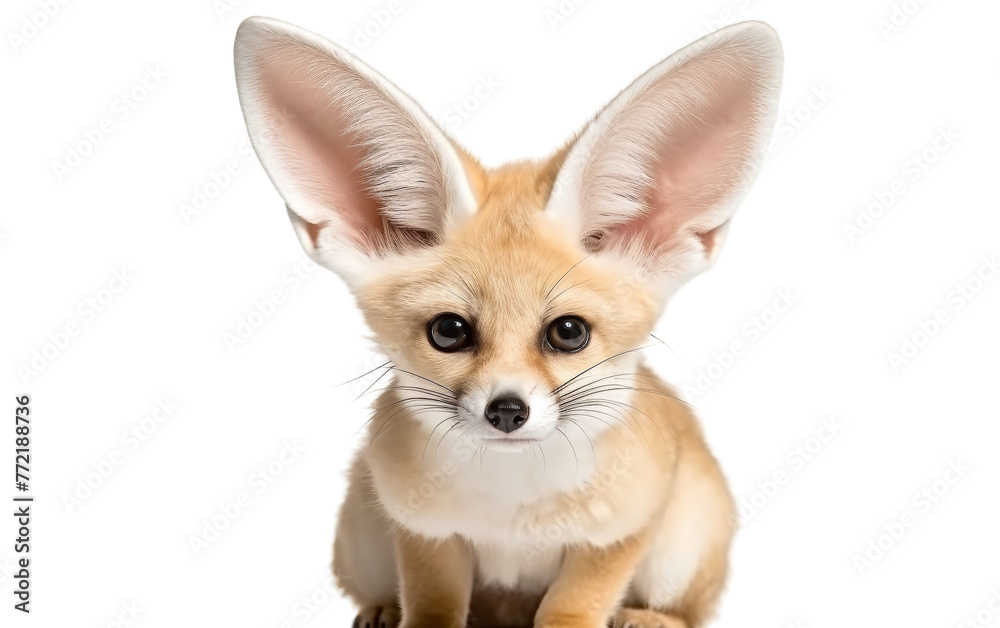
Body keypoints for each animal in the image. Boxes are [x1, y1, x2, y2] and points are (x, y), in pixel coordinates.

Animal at [232, 15, 780, 628]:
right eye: (449, 331)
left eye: (569, 332)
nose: (508, 411)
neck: (512, 506)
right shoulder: (422, 532)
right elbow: (433, 605)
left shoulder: (618, 534)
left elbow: (571, 609)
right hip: (360, 534)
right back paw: (381, 609)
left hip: (682, 547)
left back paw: (647, 618)